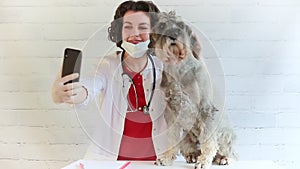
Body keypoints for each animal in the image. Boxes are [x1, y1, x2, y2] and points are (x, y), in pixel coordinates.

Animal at [151, 11, 236, 168]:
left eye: (181, 25)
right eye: (162, 25)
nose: (174, 34)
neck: (178, 69)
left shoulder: (205, 109)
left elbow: (208, 141)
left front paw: (204, 161)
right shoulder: (171, 113)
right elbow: (171, 138)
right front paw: (166, 158)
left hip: (225, 134)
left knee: (227, 149)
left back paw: (223, 158)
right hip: (186, 134)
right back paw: (193, 155)